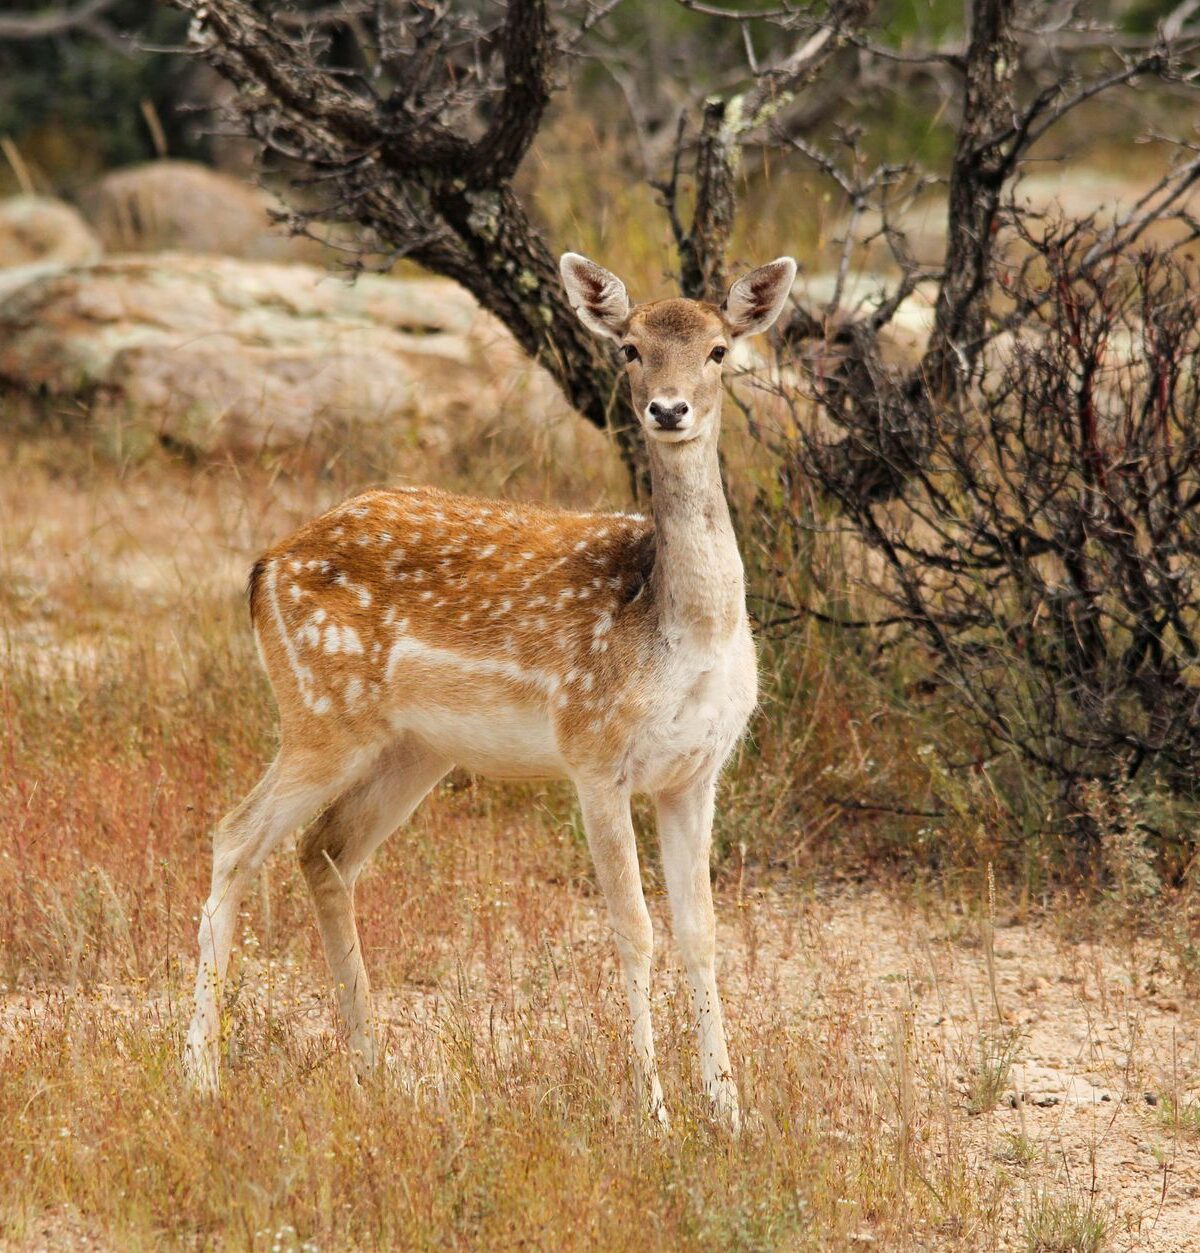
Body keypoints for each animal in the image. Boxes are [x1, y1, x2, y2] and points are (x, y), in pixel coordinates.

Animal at [183, 250, 797, 1130]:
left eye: (719, 350)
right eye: (631, 348)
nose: (668, 408)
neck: (678, 631)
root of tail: (264, 565)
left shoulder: (696, 772)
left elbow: (702, 931)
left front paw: (729, 1114)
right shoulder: (593, 752)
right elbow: (634, 928)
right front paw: (653, 1114)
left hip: (412, 748)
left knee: (325, 849)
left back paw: (372, 1066)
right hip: (319, 712)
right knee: (234, 835)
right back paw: (200, 1072)